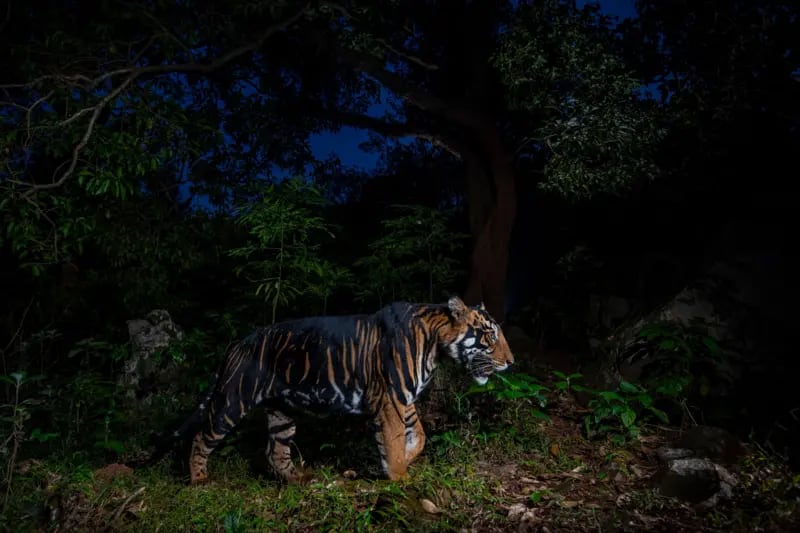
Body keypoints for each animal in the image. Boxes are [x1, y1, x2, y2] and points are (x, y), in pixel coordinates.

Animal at [146, 296, 514, 484]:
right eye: (490, 335)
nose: (511, 362)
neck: (437, 345)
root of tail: (237, 342)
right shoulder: (391, 399)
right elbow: (395, 441)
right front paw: (399, 478)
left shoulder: (402, 399)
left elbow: (419, 435)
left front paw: (404, 460)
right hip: (233, 400)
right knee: (201, 437)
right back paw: (199, 480)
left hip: (282, 411)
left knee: (275, 451)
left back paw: (299, 479)